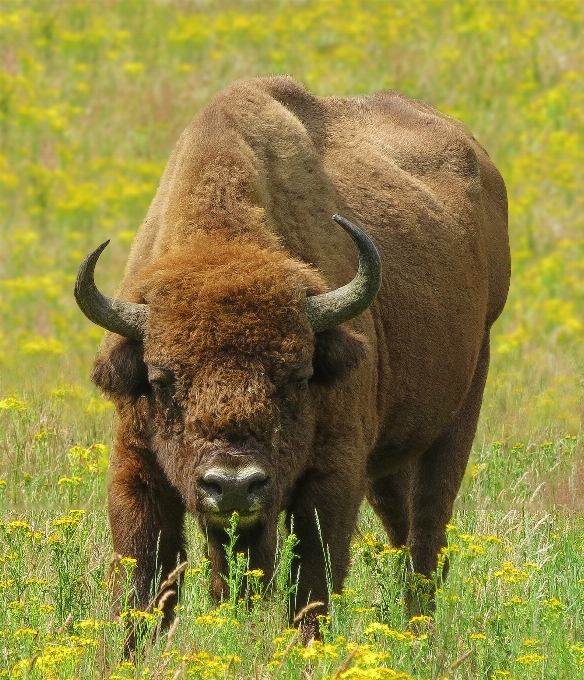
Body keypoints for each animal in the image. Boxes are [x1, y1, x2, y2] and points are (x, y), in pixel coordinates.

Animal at [75, 77, 508, 640]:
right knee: (401, 529)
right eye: (163, 379)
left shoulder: (332, 476)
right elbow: (144, 583)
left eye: (297, 376)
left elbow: (312, 579)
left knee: (427, 536)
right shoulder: (137, 469)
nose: (234, 484)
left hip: (459, 410)